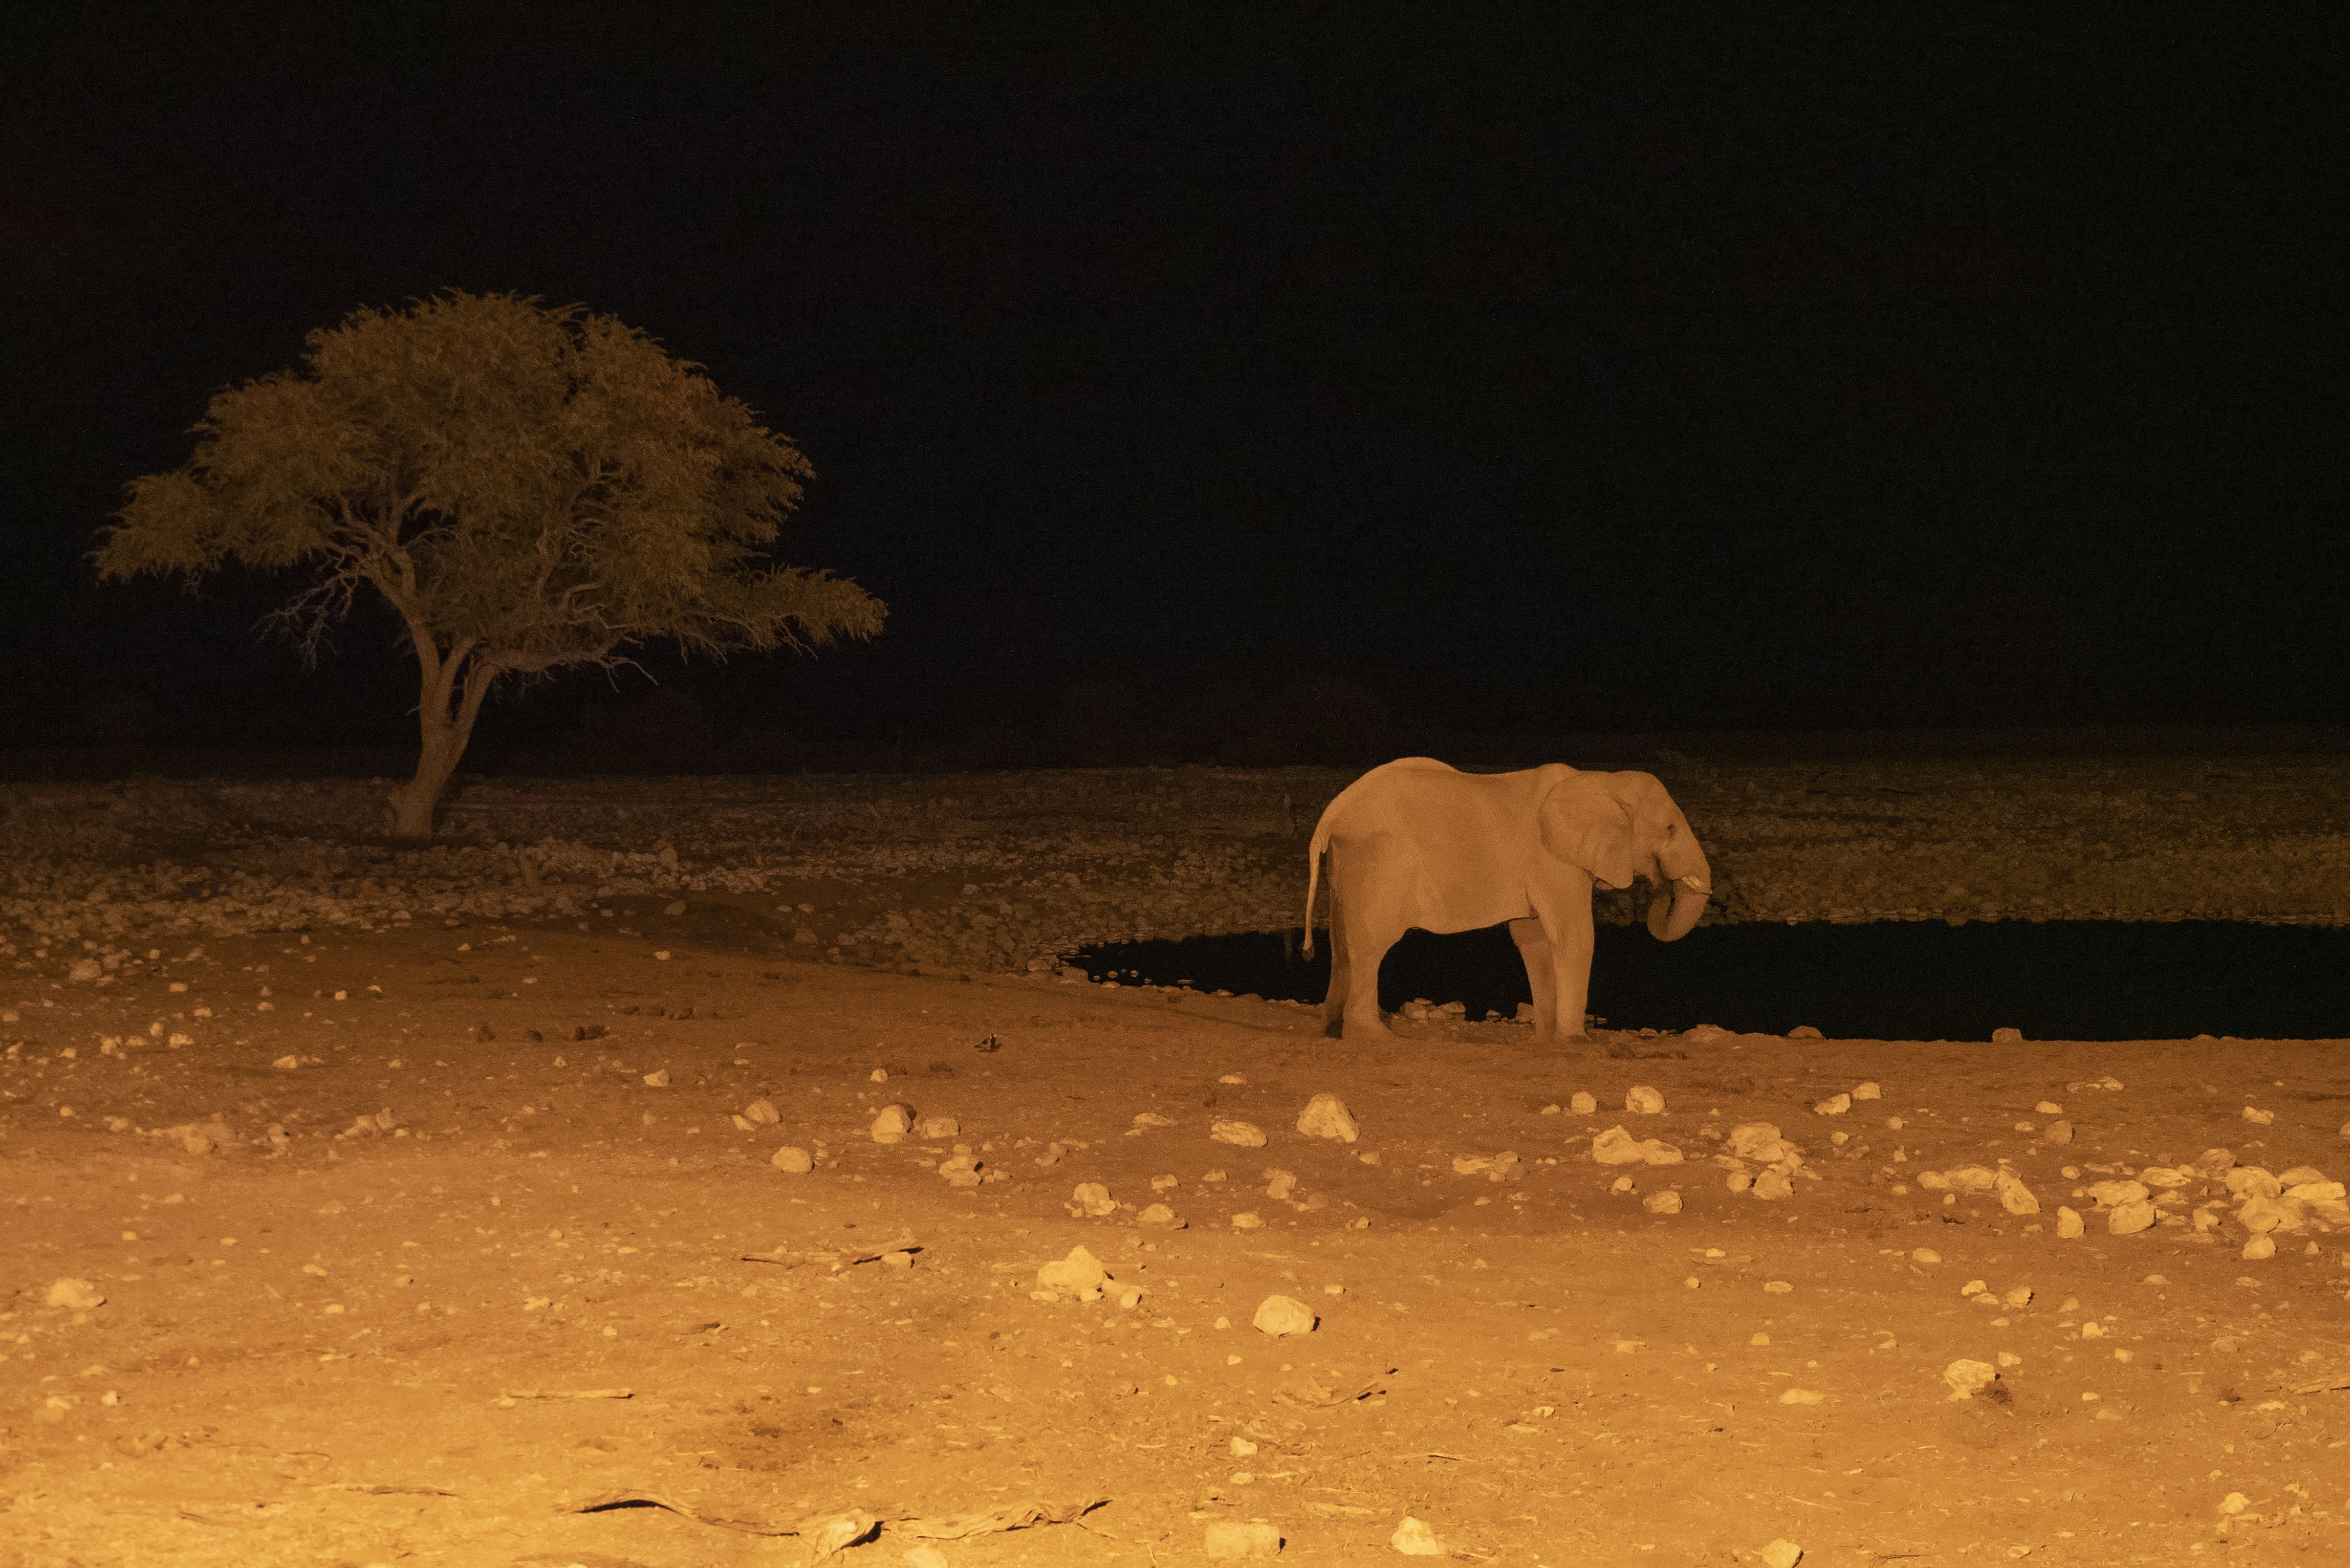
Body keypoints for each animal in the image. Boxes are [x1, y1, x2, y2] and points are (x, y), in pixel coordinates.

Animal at [1301, 757, 1710, 1044]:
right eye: (1670, 829)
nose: (1661, 882)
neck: (1601, 779)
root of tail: (1333, 812)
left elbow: (1534, 940)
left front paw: (1548, 1040)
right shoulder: (1555, 861)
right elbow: (1575, 936)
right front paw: (1578, 1042)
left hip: (1347, 861)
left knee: (1341, 943)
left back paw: (1332, 1030)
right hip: (1380, 862)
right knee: (1372, 943)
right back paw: (1377, 1038)